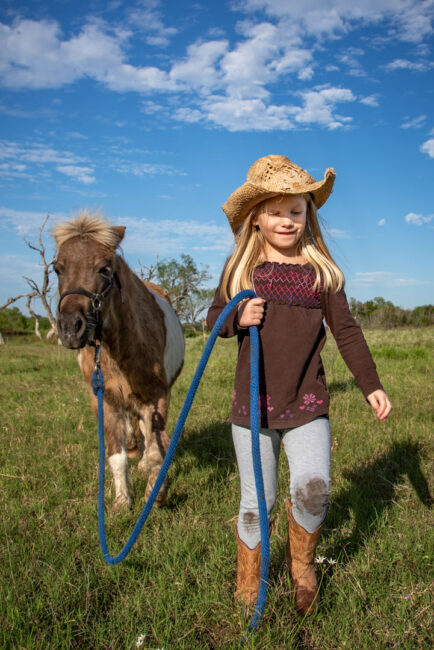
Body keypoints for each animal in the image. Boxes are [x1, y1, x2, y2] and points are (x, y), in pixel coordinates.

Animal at [53, 210, 184, 508]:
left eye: (104, 268)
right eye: (57, 269)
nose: (69, 329)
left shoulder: (158, 397)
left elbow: (156, 449)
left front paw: (156, 494)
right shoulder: (105, 400)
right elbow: (116, 456)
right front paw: (122, 502)